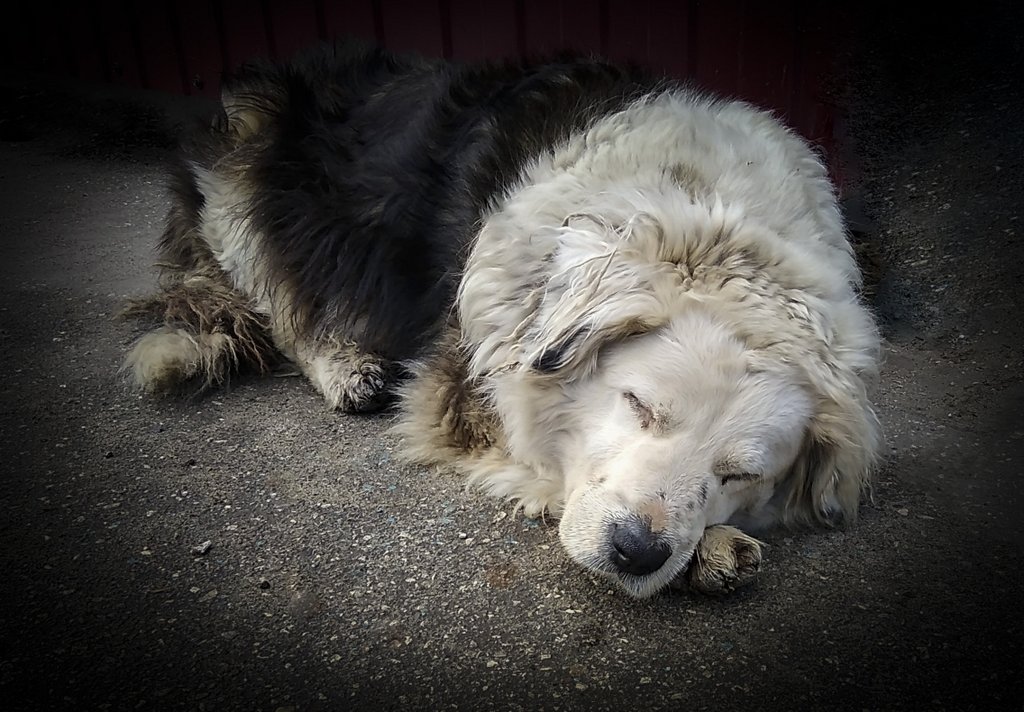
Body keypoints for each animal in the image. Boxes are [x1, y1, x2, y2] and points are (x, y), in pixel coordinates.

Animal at [123, 38, 884, 594]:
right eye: (639, 406)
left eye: (740, 474)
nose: (636, 552)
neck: (704, 208)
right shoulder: (465, 377)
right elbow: (538, 446)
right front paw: (710, 548)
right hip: (252, 190)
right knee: (281, 306)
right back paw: (344, 363)